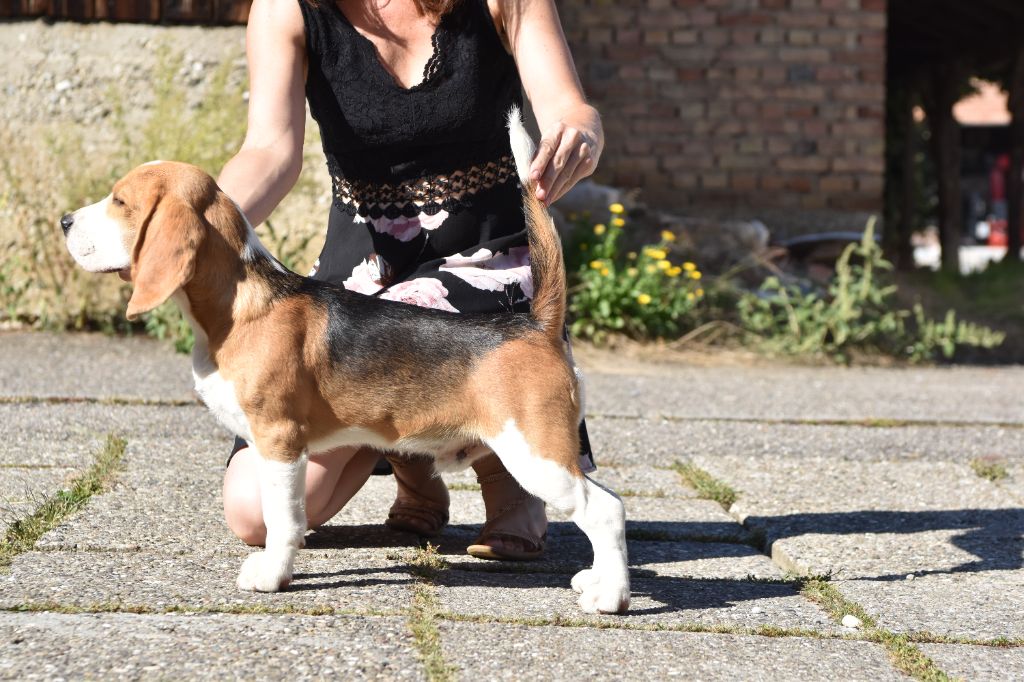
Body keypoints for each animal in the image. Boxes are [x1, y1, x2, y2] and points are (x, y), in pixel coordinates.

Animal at [61, 110, 630, 610]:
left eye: (120, 201)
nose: (64, 220)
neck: (241, 306)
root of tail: (534, 325)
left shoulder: (279, 441)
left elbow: (282, 519)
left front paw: (272, 576)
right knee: (605, 503)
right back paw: (595, 579)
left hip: (536, 453)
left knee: (606, 510)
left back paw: (611, 598)